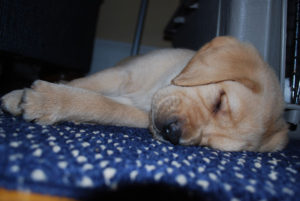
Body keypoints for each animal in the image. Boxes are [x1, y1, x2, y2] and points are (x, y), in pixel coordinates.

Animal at [1, 37, 288, 152]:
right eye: (219, 101)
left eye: (209, 145)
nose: (173, 134)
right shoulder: (120, 74)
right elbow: (86, 83)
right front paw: (21, 95)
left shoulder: (140, 113)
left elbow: (103, 105)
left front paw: (47, 101)